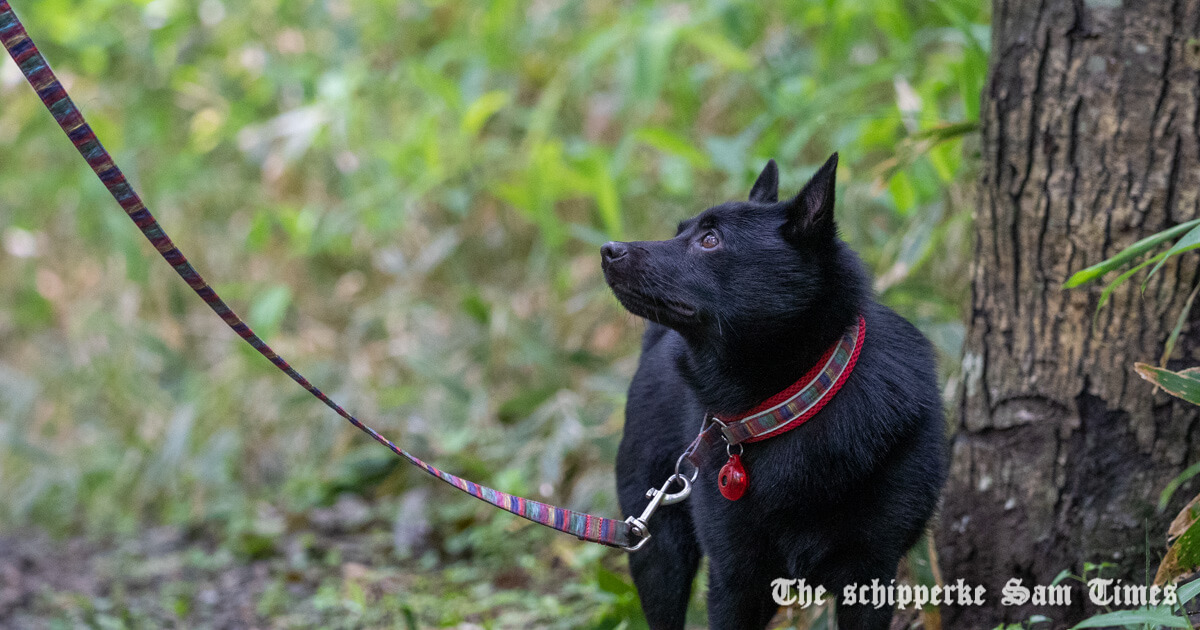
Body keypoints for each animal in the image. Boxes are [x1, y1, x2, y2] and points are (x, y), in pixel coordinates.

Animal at [600, 153, 945, 628]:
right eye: (680, 231)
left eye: (710, 240)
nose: (608, 250)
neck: (785, 407)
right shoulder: (735, 581)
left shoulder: (871, 573)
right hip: (659, 551)